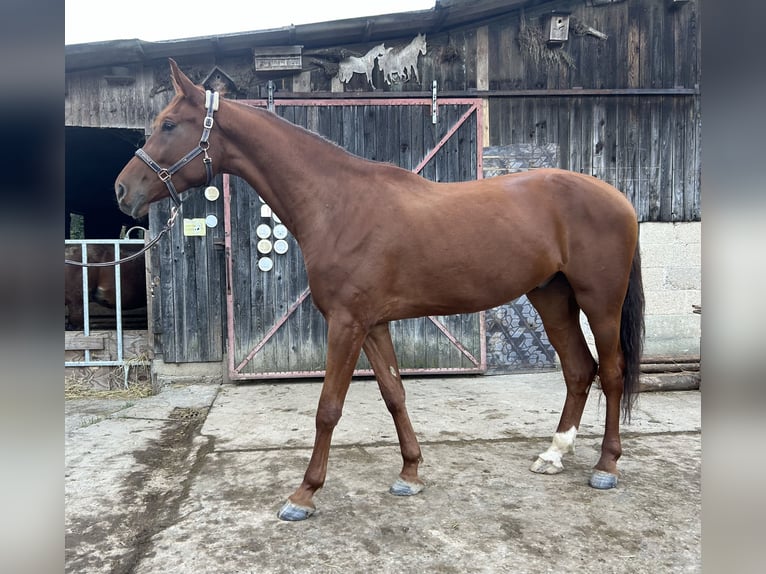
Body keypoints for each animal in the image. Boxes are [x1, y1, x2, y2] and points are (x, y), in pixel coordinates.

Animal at [114, 60, 644, 524]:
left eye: (168, 125)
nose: (122, 190)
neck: (337, 204)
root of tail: (618, 198)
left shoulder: (346, 323)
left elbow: (328, 409)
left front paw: (304, 494)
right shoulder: (373, 324)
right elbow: (394, 394)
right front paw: (410, 473)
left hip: (599, 301)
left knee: (612, 372)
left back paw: (605, 466)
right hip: (551, 297)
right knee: (579, 370)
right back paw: (554, 454)